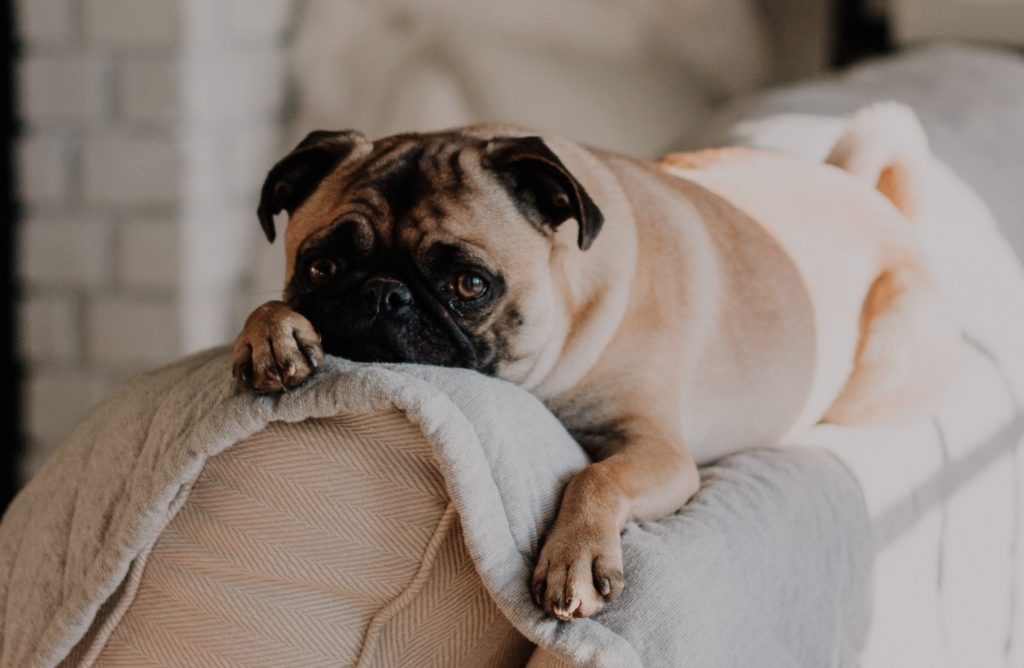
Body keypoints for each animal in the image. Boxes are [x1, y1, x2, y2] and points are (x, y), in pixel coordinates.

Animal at [232, 104, 958, 622]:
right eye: (321, 267)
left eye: (470, 285)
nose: (385, 295)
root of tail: (875, 200)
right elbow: (267, 307)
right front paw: (270, 333)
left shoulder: (660, 452)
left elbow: (595, 478)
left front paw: (574, 558)